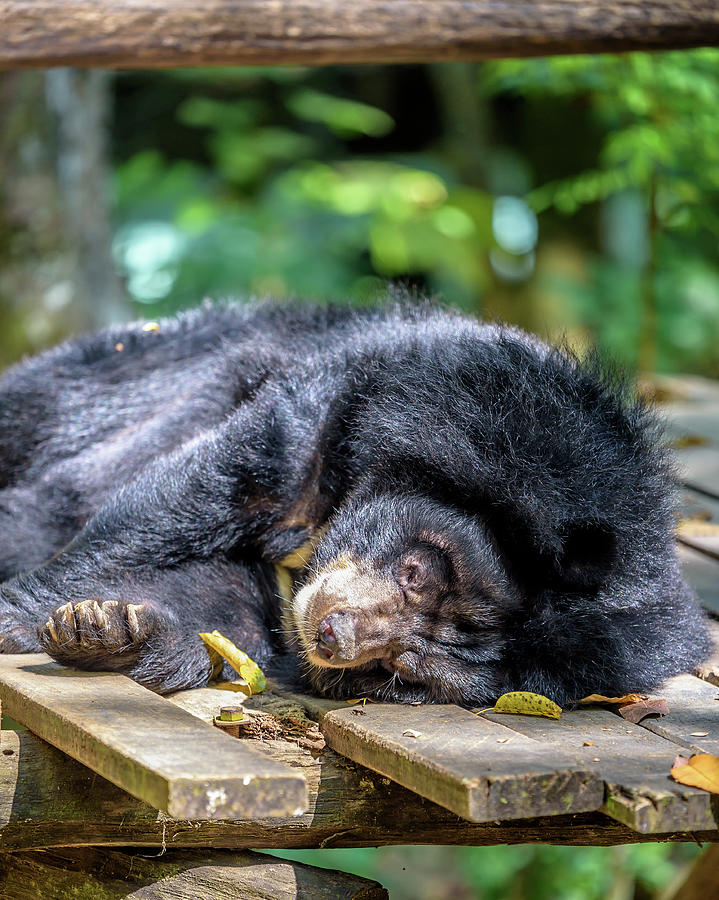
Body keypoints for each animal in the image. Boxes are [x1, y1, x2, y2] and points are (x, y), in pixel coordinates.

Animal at [0, 298, 712, 708]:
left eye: (403, 672)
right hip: (127, 364)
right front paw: (24, 617)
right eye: (418, 572)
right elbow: (214, 489)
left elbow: (229, 615)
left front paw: (114, 636)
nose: (332, 636)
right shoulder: (378, 389)